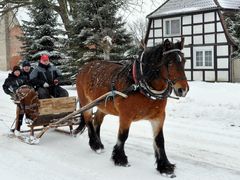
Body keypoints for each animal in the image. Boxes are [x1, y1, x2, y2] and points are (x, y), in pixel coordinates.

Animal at [75, 38, 189, 176]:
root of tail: (84, 67)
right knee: (88, 121)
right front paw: (120, 158)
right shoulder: (125, 116)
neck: (139, 84)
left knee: (96, 121)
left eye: (184, 61)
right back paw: (95, 144)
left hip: (103, 105)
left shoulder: (159, 116)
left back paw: (98, 142)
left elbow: (159, 140)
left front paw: (164, 166)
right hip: (86, 102)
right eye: (170, 62)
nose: (183, 90)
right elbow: (123, 136)